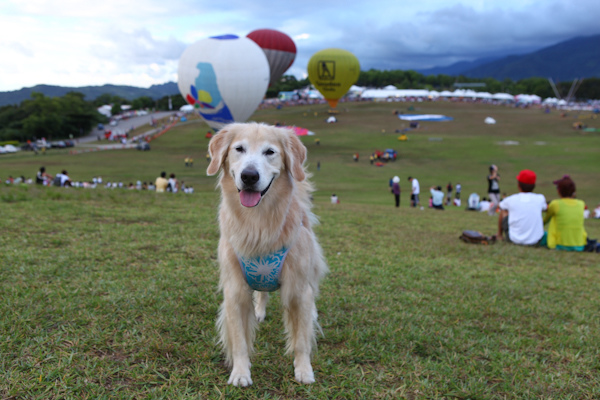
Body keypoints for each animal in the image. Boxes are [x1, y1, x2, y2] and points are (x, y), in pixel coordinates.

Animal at [206, 122, 328, 388]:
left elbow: (301, 339)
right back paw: (259, 311)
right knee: (261, 293)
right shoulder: (235, 289)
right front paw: (240, 372)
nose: (249, 176)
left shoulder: (298, 288)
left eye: (270, 152)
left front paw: (304, 370)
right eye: (239, 149)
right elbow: (239, 339)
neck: (258, 222)